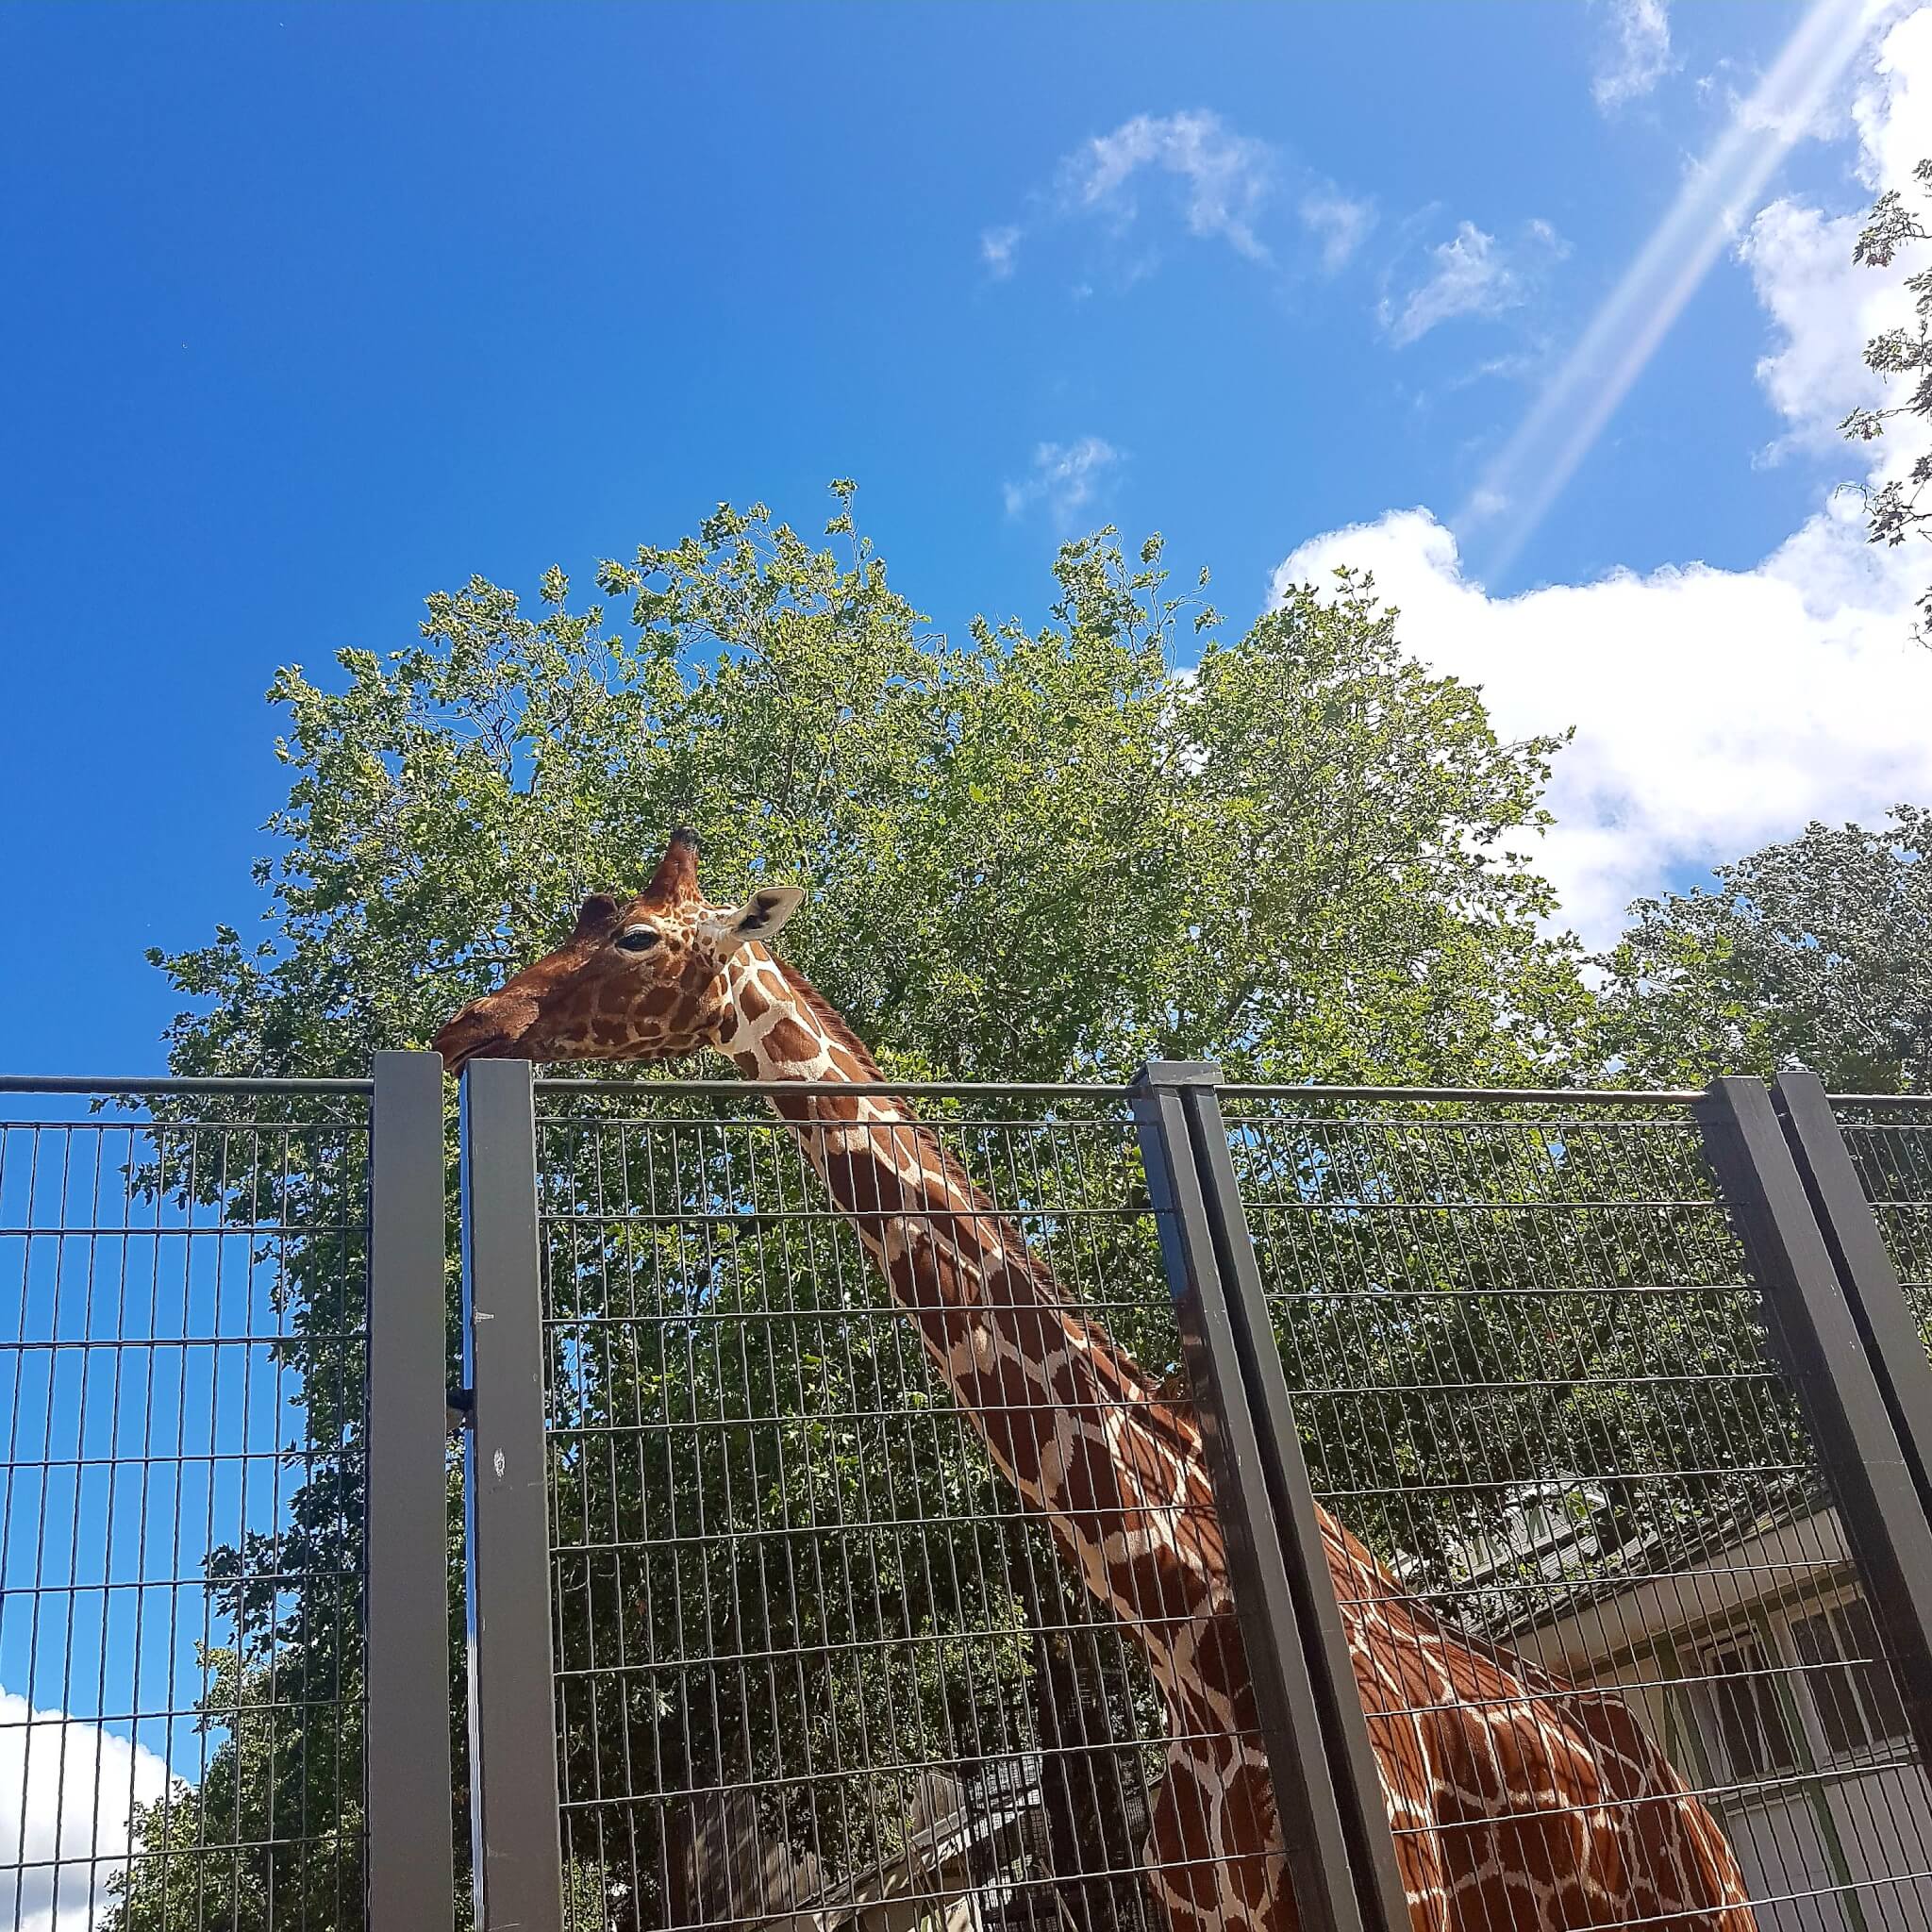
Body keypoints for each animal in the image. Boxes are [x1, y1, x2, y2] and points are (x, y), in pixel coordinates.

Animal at [434, 830, 1754, 1932]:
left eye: (638, 937)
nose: (465, 1024)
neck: (1189, 1642)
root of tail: (1686, 1800)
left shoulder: (1398, 1901)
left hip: (1698, 1917)